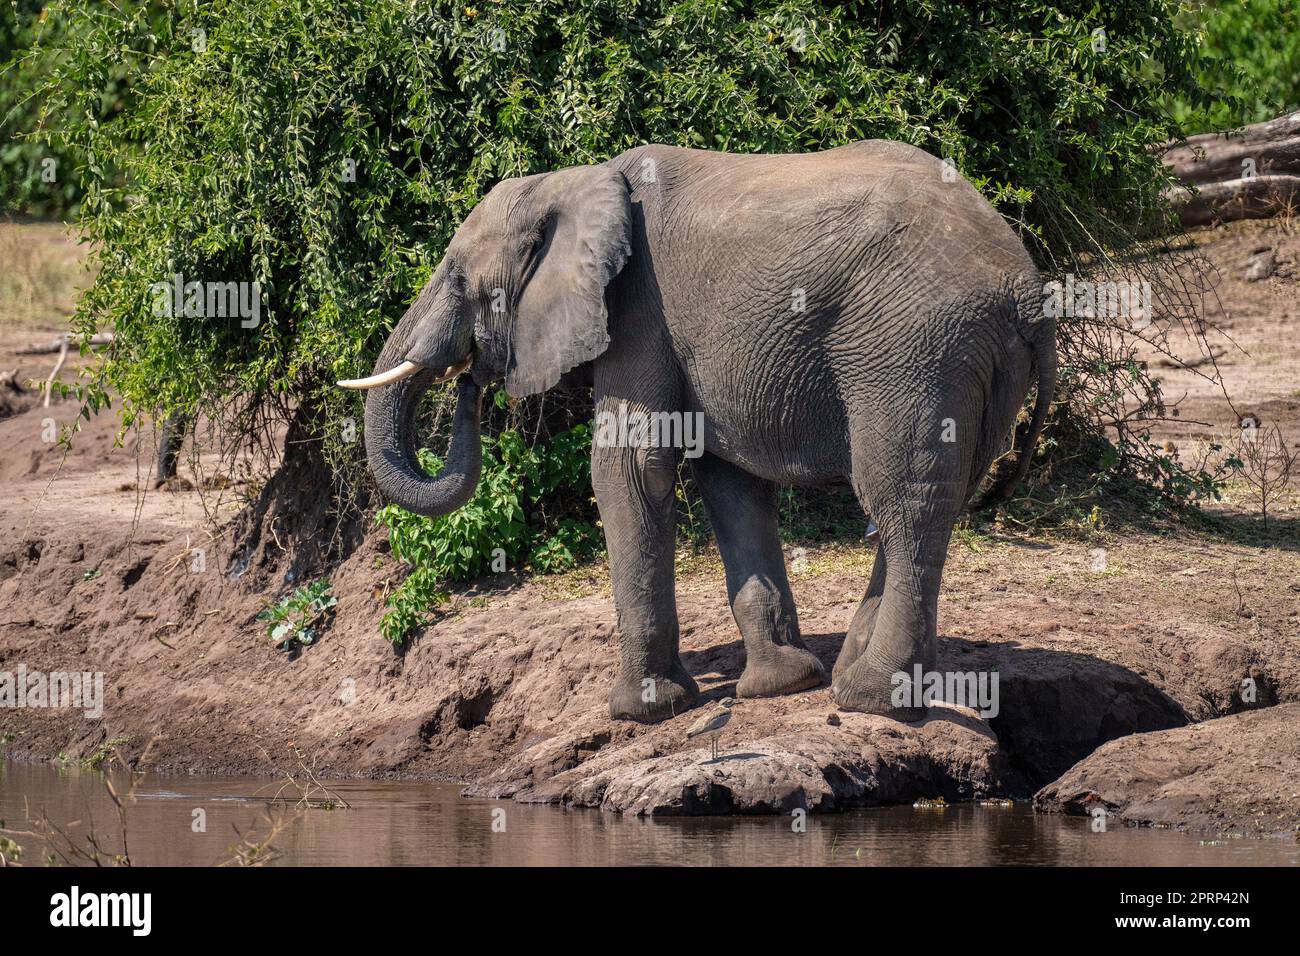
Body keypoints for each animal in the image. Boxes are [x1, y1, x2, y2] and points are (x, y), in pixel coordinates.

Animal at [340, 140, 1056, 724]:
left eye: (460, 276)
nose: (470, 376)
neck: (569, 182)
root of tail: (1026, 284)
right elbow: (728, 479)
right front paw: (779, 686)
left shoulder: (637, 308)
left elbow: (631, 468)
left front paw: (642, 711)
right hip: (974, 363)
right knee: (937, 500)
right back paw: (855, 679)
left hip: (917, 350)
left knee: (903, 504)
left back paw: (871, 700)